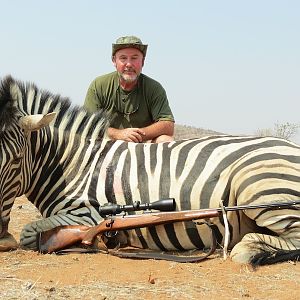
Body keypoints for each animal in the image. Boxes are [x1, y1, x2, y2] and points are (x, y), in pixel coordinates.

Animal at [0, 74, 300, 264]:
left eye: (16, 159)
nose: (2, 238)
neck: (73, 164)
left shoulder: (87, 213)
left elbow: (31, 233)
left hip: (258, 186)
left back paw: (247, 249)